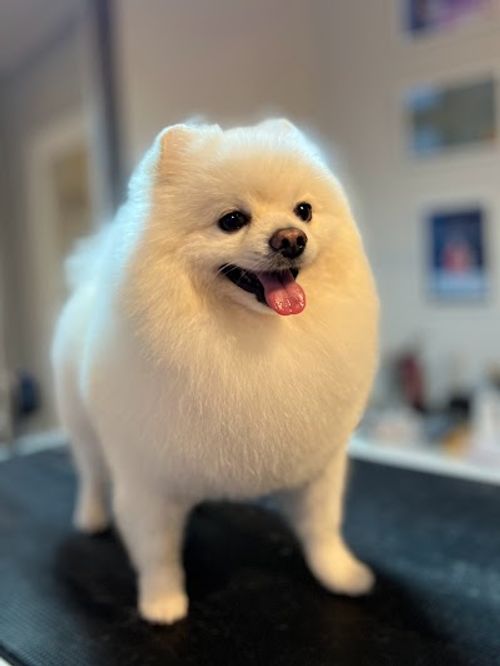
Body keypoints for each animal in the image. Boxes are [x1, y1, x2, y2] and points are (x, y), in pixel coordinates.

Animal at [51, 119, 379, 624]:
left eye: (304, 211)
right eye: (231, 220)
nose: (291, 238)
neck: (252, 338)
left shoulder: (317, 464)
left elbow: (322, 527)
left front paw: (341, 575)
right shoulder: (146, 478)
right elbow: (157, 550)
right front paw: (162, 602)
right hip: (82, 426)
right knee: (89, 472)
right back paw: (91, 517)